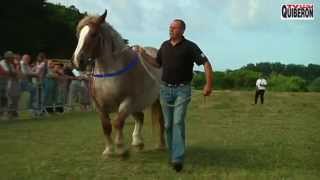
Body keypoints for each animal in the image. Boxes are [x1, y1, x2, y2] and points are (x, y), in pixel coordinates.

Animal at [72, 9, 165, 157]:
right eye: (78, 34)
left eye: (93, 34)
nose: (77, 61)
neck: (108, 76)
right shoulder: (99, 106)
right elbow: (106, 126)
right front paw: (109, 150)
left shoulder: (127, 102)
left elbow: (118, 123)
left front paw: (120, 148)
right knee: (140, 117)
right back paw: (137, 142)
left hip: (154, 99)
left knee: (159, 119)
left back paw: (160, 144)